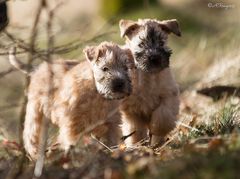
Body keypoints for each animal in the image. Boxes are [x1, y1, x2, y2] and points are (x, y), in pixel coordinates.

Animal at [119, 18, 181, 147]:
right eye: (141, 44)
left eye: (161, 43)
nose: (155, 58)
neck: (148, 75)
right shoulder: (131, 109)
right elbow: (135, 130)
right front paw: (136, 145)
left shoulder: (169, 95)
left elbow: (163, 117)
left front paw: (157, 131)